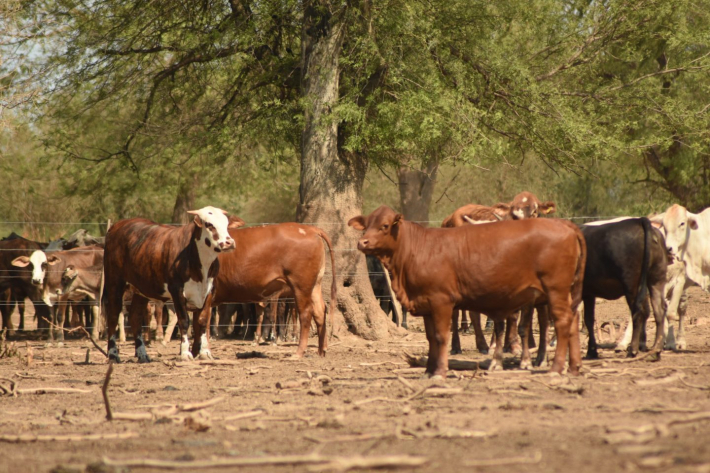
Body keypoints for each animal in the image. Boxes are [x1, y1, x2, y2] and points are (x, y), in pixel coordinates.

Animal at [103, 206, 241, 362]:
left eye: (226, 224)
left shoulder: (209, 291)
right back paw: (113, 354)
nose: (229, 242)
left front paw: (205, 353)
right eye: (209, 224)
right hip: (114, 282)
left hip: (141, 288)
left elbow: (203, 320)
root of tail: (116, 226)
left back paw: (142, 355)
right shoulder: (177, 291)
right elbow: (184, 320)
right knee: (113, 315)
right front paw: (185, 353)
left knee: (135, 317)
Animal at [197, 223, 336, 356]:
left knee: (305, 313)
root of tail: (310, 229)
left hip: (300, 287)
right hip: (314, 285)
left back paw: (298, 351)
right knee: (319, 311)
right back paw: (321, 350)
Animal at [348, 205, 588, 378]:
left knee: (563, 321)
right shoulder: (426, 303)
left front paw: (440, 372)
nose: (362, 242)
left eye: (385, 225)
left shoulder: (441, 300)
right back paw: (574, 367)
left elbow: (441, 336)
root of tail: (566, 226)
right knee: (574, 319)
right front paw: (428, 370)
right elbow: (430, 338)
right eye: (366, 225)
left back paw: (556, 368)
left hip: (555, 289)